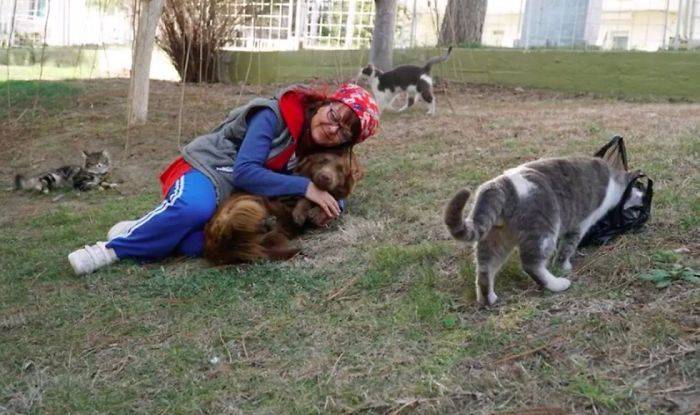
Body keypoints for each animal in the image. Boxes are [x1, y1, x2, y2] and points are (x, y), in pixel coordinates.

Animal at [202, 151, 364, 264]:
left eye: (340, 170)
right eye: (322, 161)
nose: (325, 177)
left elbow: (330, 201)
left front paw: (318, 212)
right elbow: (307, 197)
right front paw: (304, 211)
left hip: (273, 237)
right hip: (248, 203)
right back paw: (267, 222)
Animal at [446, 156, 644, 306]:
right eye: (639, 189)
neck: (613, 179)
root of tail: (501, 185)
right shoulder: (579, 224)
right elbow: (567, 248)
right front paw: (564, 266)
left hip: (495, 239)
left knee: (484, 269)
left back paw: (488, 298)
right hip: (544, 231)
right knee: (531, 265)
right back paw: (557, 284)